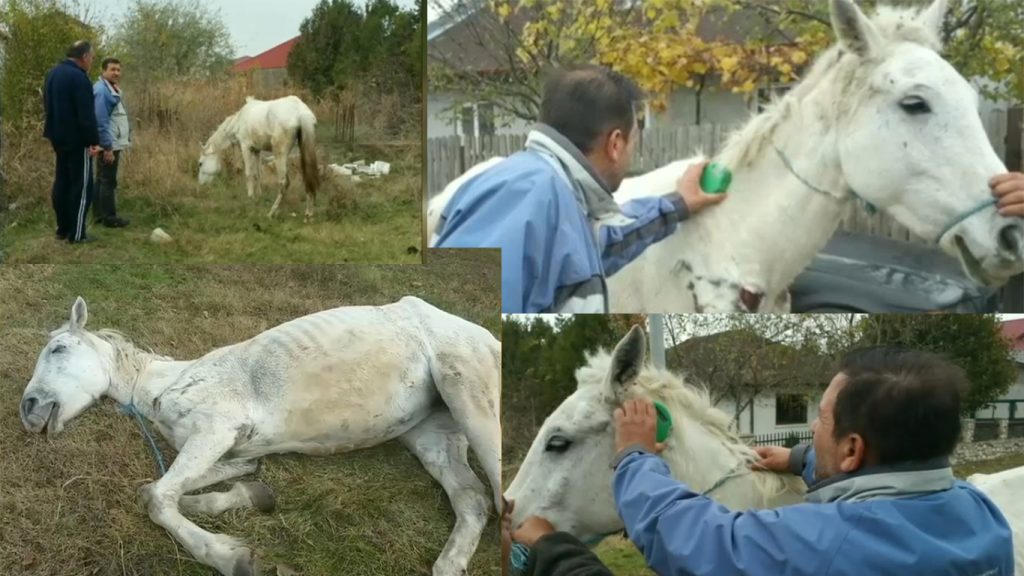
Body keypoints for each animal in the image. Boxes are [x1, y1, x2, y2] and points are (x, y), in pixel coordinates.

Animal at [19, 295, 499, 573]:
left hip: (472, 403)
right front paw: (249, 497)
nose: (28, 410)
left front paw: (231, 557)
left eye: (58, 349)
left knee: (498, 495)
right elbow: (166, 487)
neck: (164, 386)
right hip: (430, 436)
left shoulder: (216, 429)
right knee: (473, 500)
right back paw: (448, 565)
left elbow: (158, 497)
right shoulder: (226, 449)